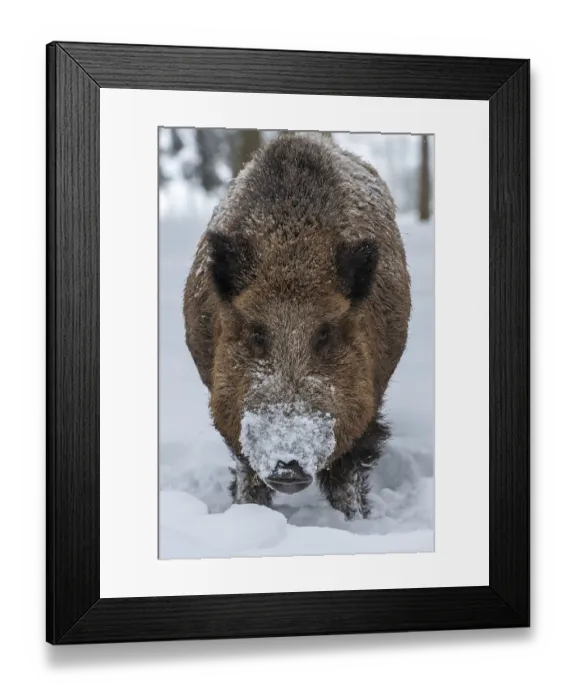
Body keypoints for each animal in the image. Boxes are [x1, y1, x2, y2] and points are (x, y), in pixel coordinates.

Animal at [183, 132, 411, 520]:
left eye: (324, 333)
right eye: (257, 333)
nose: (287, 466)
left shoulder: (368, 399)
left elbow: (347, 470)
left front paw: (354, 521)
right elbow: (247, 468)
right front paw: (248, 515)